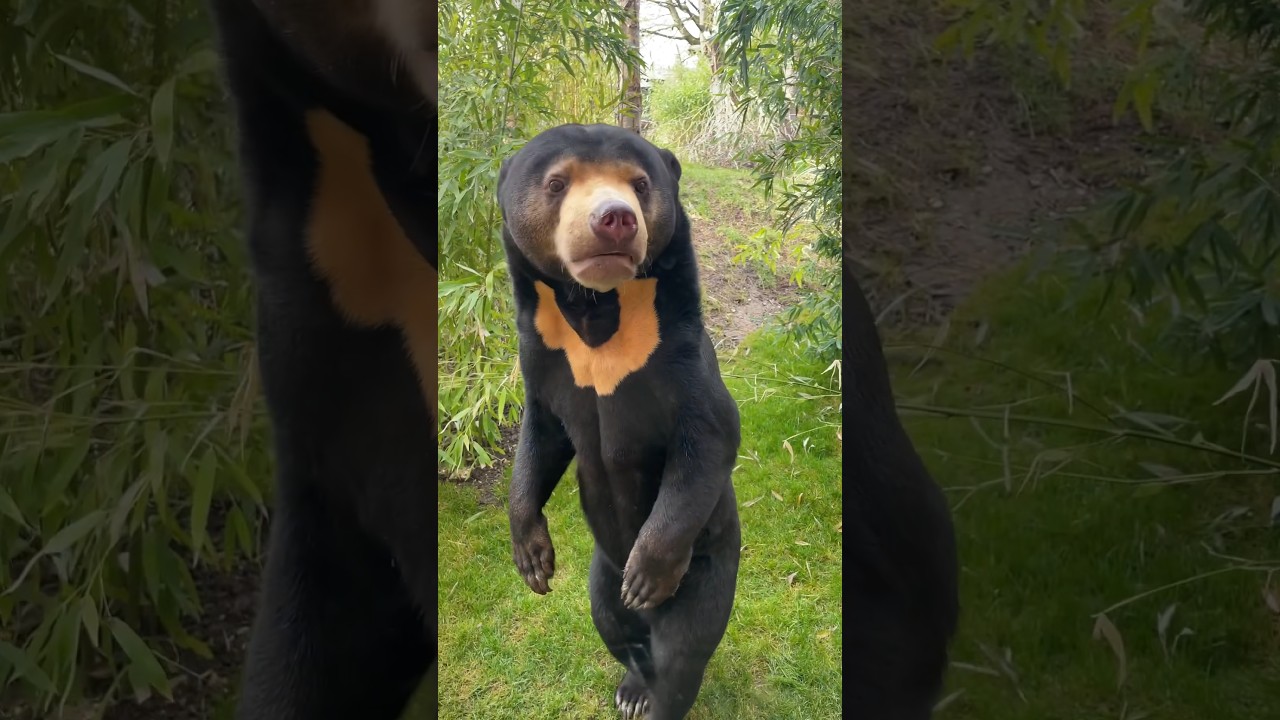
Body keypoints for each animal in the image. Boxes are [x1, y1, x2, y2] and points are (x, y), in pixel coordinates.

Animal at [497, 124, 742, 720]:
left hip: (709, 568)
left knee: (682, 654)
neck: (596, 313)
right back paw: (632, 686)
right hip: (600, 574)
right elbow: (542, 438)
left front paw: (647, 571)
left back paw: (652, 688)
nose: (615, 217)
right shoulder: (541, 358)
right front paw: (532, 559)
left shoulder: (681, 352)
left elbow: (709, 437)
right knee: (614, 624)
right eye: (557, 183)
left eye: (639, 184)